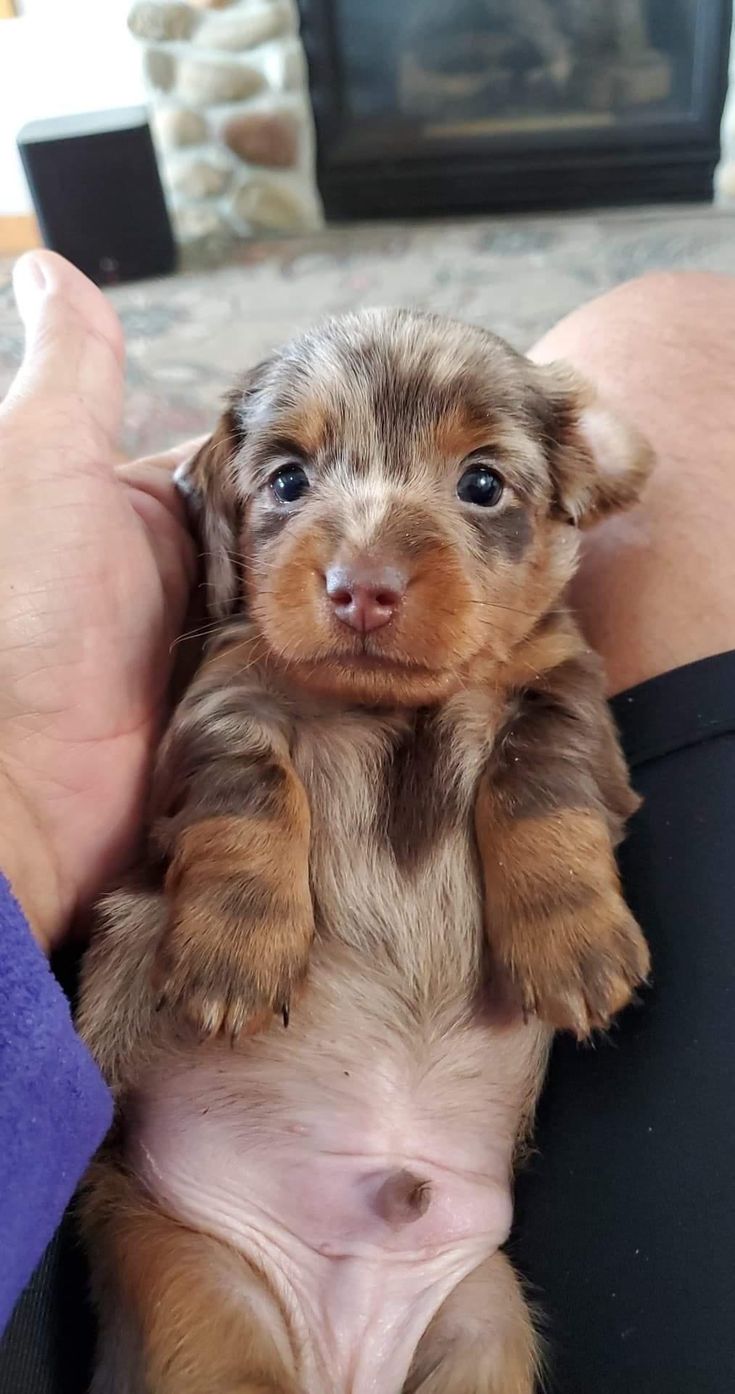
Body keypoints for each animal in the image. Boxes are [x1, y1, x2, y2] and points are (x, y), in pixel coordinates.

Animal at [79, 310, 649, 1394]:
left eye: (482, 483)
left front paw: (571, 942)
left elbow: (540, 783)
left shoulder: (564, 689)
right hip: (201, 1297)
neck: (393, 711)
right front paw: (235, 949)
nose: (361, 592)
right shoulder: (225, 701)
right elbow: (250, 796)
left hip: (484, 1329)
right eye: (288, 479)